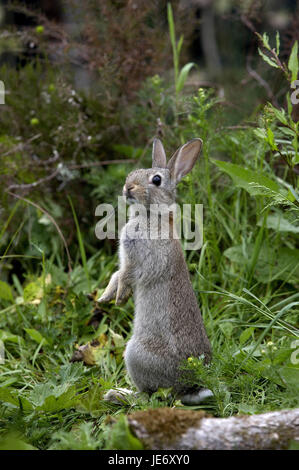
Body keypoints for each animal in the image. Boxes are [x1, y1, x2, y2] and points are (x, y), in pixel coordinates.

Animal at [99, 138, 212, 406]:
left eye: (157, 180)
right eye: (134, 172)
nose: (128, 187)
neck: (151, 216)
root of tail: (189, 385)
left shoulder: (141, 261)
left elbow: (128, 275)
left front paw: (120, 297)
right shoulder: (124, 261)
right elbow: (116, 275)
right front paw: (106, 297)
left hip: (135, 354)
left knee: (149, 397)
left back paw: (117, 394)